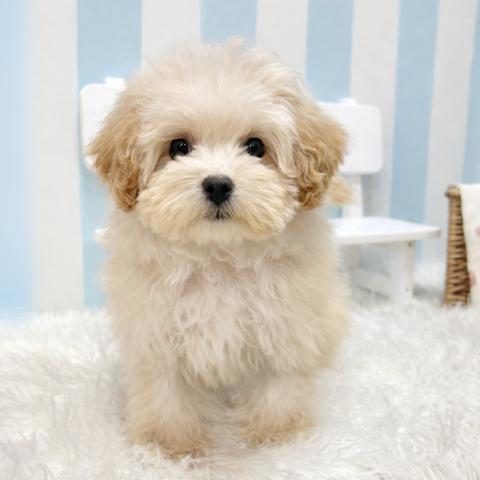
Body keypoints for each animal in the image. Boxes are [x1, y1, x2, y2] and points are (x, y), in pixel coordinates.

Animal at [89, 40, 349, 457]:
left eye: (255, 147)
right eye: (179, 147)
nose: (217, 184)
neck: (218, 256)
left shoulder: (284, 324)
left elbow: (280, 382)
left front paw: (277, 437)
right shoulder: (156, 330)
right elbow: (166, 391)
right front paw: (170, 446)